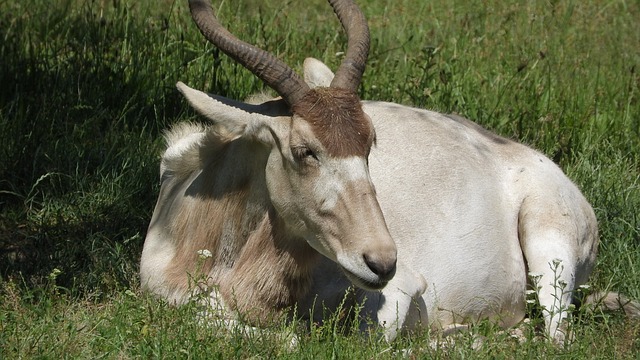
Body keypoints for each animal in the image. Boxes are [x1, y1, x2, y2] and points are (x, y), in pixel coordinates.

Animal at [142, 0, 636, 344]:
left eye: (369, 142)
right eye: (304, 150)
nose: (382, 262)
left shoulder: (399, 292)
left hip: (549, 247)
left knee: (554, 336)